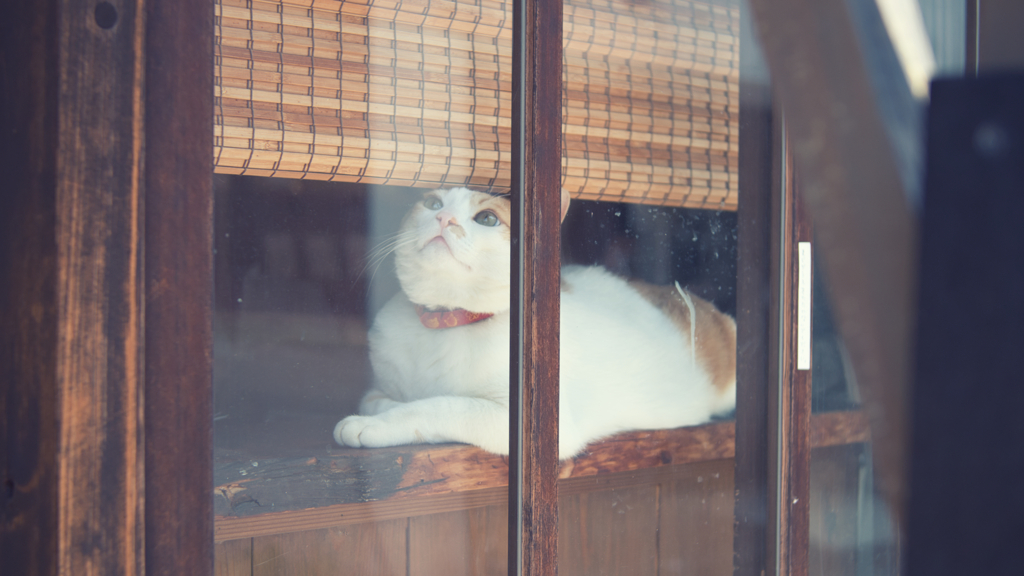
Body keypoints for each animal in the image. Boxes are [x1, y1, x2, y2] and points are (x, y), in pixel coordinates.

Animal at [335, 186, 737, 455]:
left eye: (486, 219)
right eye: (432, 203)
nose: (442, 218)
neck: (444, 322)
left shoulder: (528, 425)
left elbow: (438, 405)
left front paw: (369, 425)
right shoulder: (378, 386)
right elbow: (379, 399)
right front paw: (383, 408)